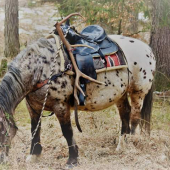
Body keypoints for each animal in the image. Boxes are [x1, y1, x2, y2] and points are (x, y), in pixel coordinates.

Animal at [0, 30, 155, 166]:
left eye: (1, 131)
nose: (2, 161)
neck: (41, 68)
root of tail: (147, 48)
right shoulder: (33, 107)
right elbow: (35, 129)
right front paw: (34, 156)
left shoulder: (60, 106)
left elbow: (67, 132)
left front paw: (72, 160)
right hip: (120, 94)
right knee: (125, 114)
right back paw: (122, 145)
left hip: (138, 92)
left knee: (135, 116)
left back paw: (132, 144)